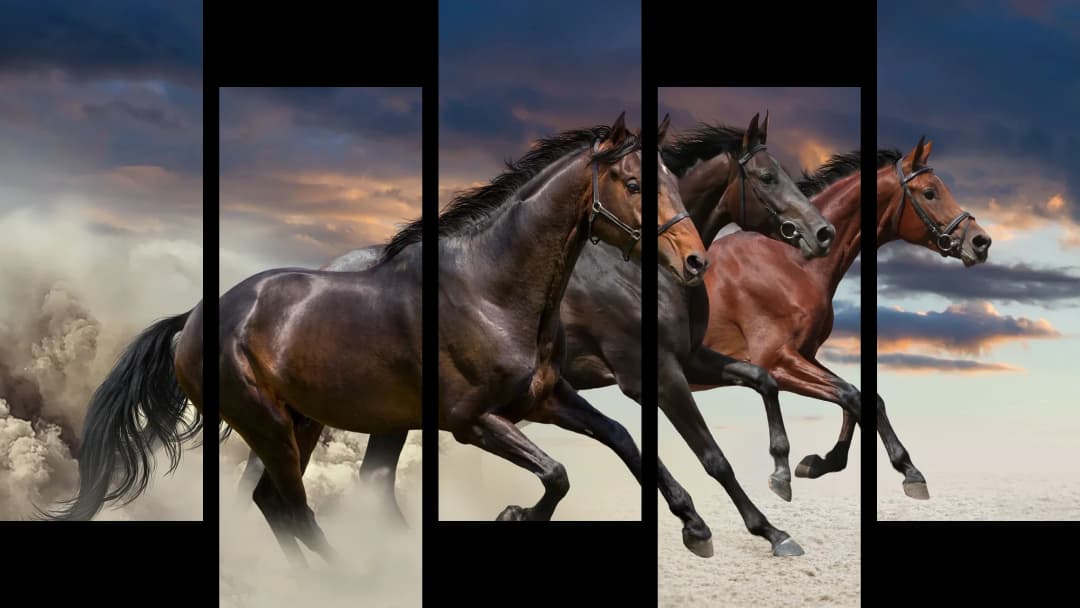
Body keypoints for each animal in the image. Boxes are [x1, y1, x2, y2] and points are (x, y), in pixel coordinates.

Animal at [692, 137, 991, 502]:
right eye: (930, 192)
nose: (981, 241)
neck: (791, 262)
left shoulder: (804, 354)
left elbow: (864, 397)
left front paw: (823, 462)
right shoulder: (775, 360)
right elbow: (852, 395)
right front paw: (908, 470)